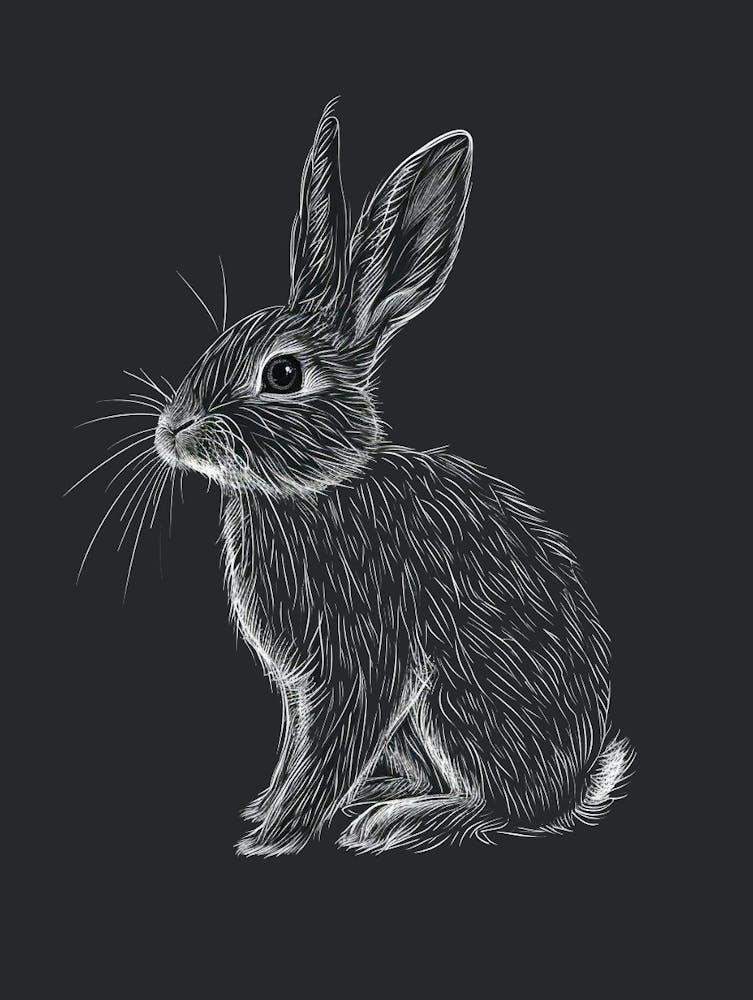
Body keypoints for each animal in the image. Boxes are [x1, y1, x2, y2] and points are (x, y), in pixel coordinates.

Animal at [136, 100, 634, 854]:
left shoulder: (361, 662)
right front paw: (265, 808)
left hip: (456, 703)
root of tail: (574, 785)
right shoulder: (299, 690)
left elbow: (327, 751)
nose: (173, 431)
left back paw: (393, 822)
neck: (315, 489)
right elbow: (295, 746)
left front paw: (276, 835)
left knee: (496, 808)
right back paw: (382, 797)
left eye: (283, 374)